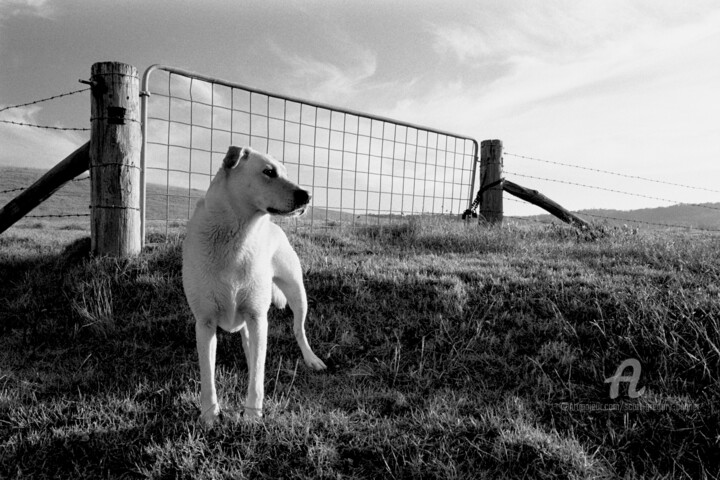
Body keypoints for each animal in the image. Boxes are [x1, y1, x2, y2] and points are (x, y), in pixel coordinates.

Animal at [181, 145, 328, 424]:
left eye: (285, 173)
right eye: (268, 172)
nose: (308, 195)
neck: (238, 235)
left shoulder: (258, 317)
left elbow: (258, 377)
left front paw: (251, 414)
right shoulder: (205, 323)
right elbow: (208, 376)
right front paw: (209, 415)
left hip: (296, 293)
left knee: (298, 329)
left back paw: (311, 359)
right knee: (251, 345)